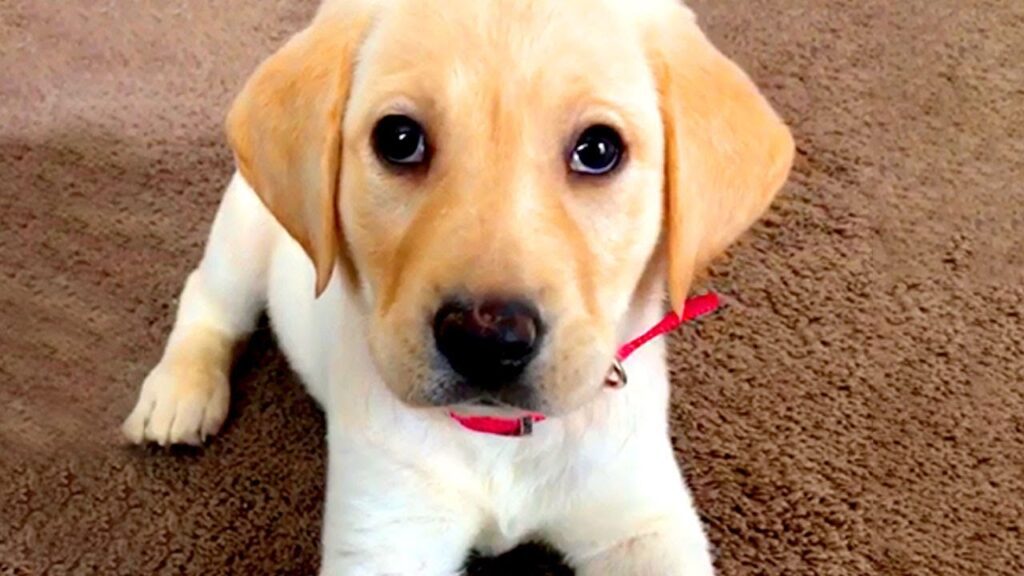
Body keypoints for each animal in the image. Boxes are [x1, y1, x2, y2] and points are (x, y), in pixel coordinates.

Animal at [119, 0, 790, 569]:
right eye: (398, 139)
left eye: (599, 149)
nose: (486, 341)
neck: (501, 438)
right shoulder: (385, 534)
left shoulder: (644, 520)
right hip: (244, 227)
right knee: (208, 301)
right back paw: (179, 393)